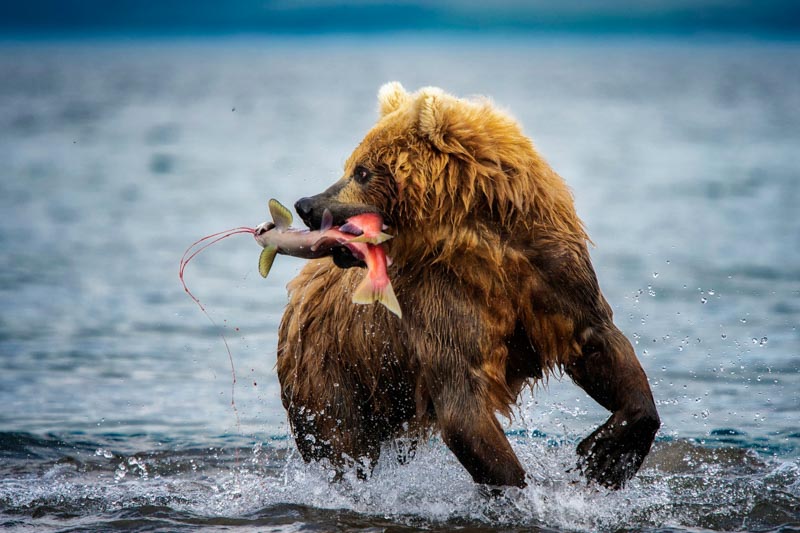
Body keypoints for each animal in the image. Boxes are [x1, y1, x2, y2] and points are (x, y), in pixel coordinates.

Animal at [276, 82, 659, 490]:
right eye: (351, 166)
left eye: (362, 171)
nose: (306, 205)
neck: (481, 241)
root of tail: (298, 291)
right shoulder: (442, 299)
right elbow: (463, 400)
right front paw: (522, 487)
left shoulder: (551, 268)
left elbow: (597, 342)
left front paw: (606, 455)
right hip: (333, 368)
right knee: (339, 441)